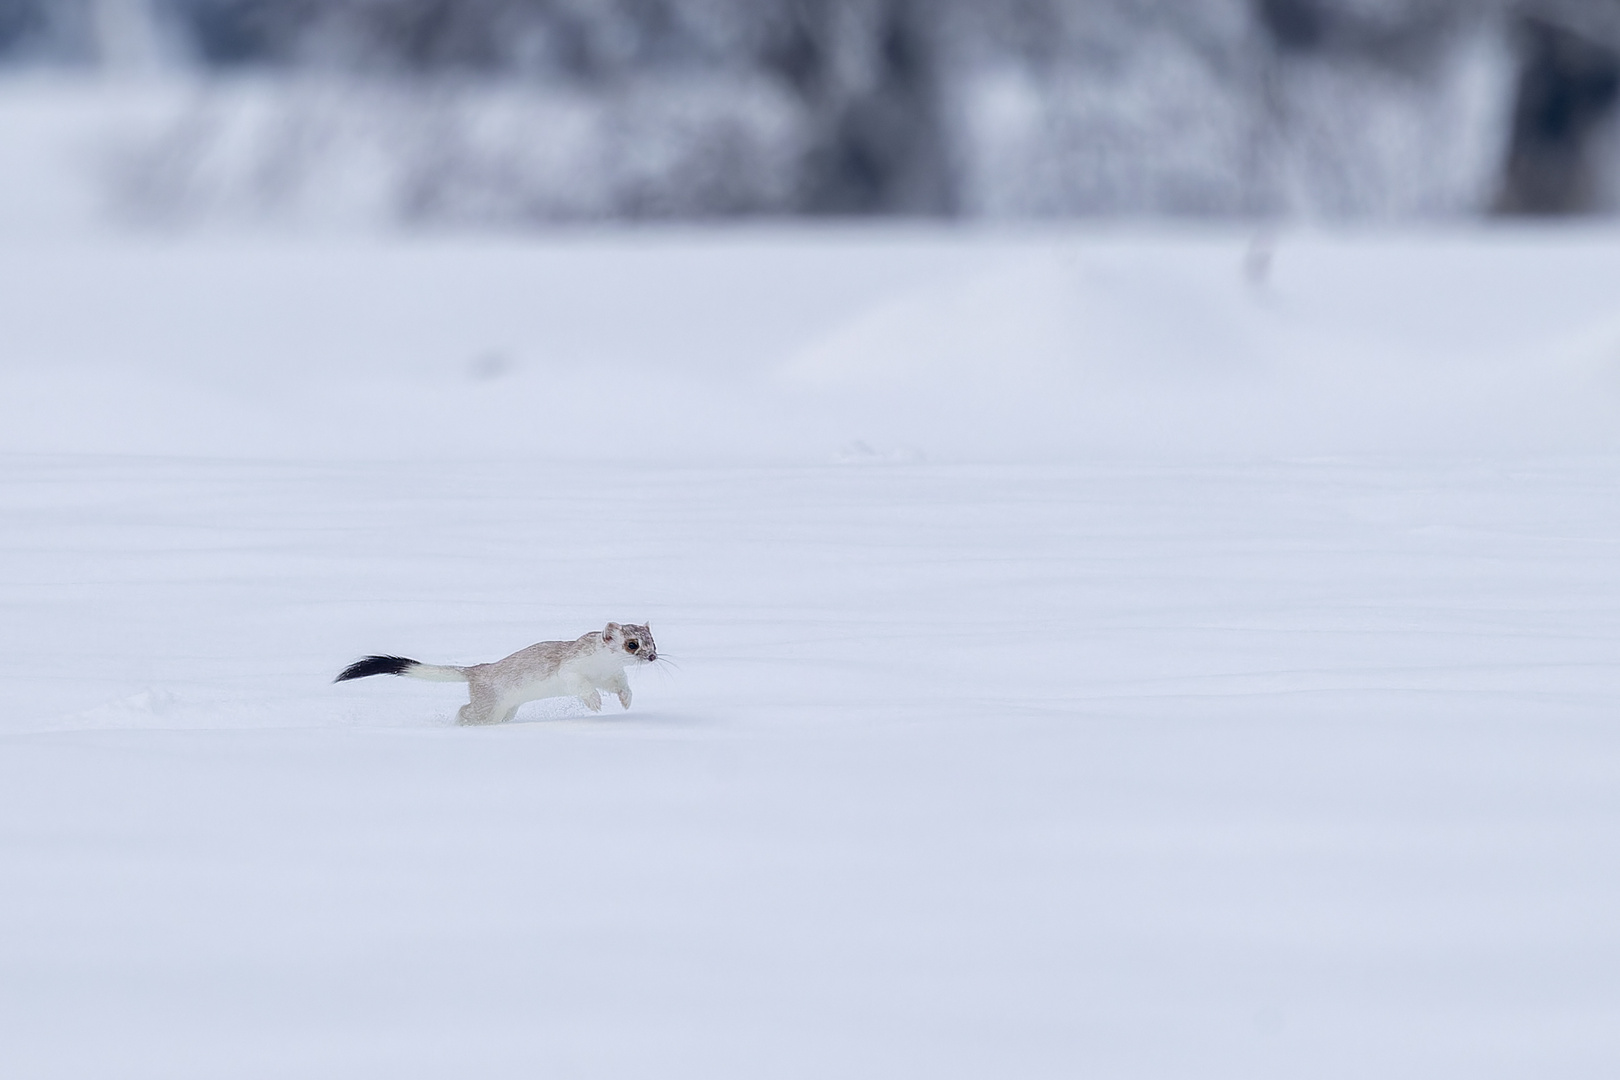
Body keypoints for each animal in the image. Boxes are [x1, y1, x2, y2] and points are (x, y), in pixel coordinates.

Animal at [335, 625, 657, 725]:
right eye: (632, 644)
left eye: (653, 642)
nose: (653, 657)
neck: (600, 668)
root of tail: (478, 670)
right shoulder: (571, 667)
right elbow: (577, 684)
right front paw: (593, 701)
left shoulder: (612, 675)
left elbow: (622, 685)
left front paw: (626, 700)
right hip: (488, 704)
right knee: (466, 710)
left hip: (506, 710)